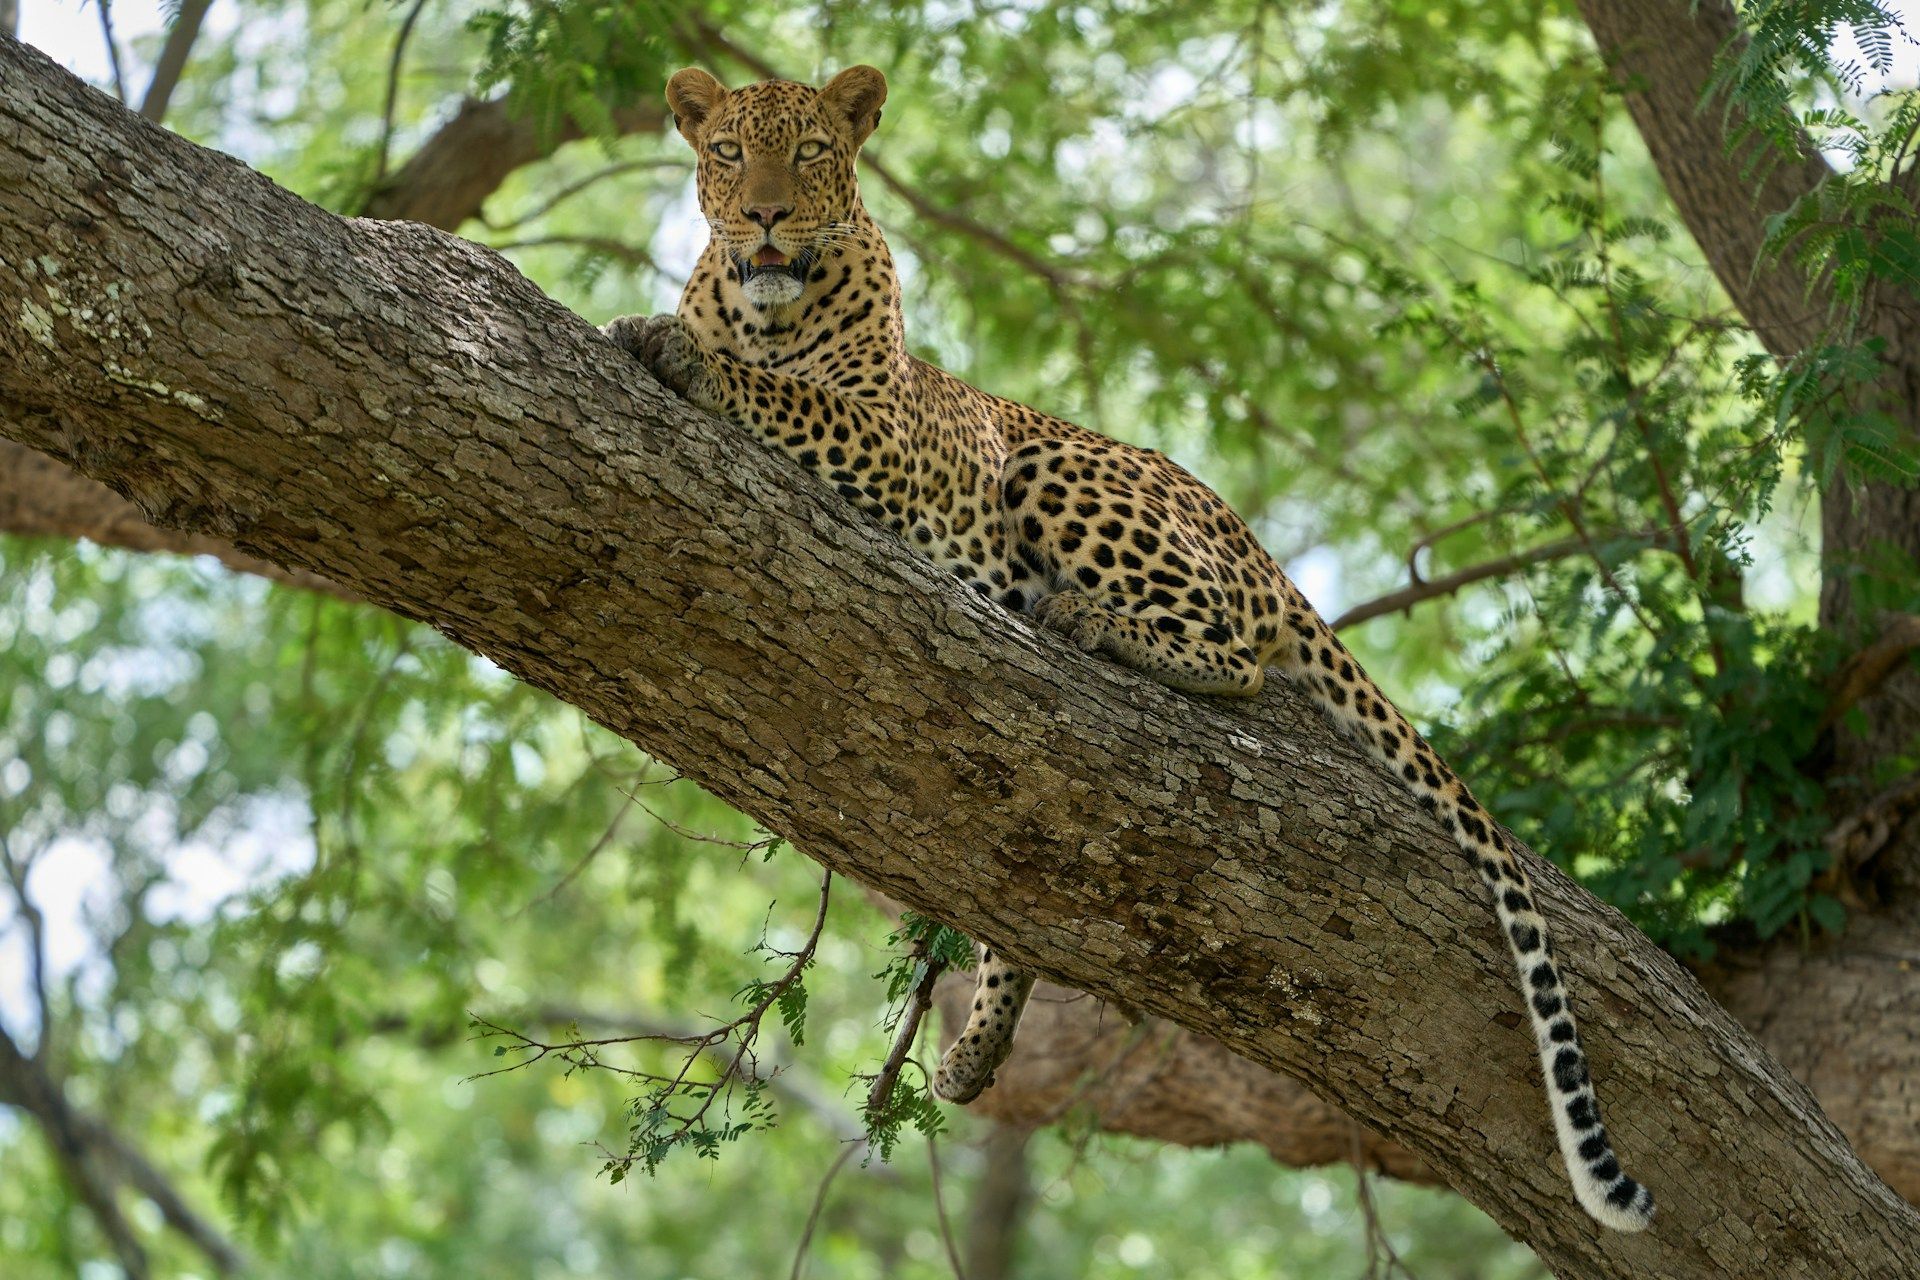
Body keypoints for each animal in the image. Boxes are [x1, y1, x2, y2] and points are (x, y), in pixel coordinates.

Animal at [601, 63, 1655, 1233]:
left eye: (813, 152)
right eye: (730, 153)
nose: (766, 218)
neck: (763, 314)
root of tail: (1253, 537)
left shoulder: (885, 435)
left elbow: (783, 395)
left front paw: (683, 354)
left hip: (1054, 464)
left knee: (1237, 651)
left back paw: (1091, 622)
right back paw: (980, 1037)